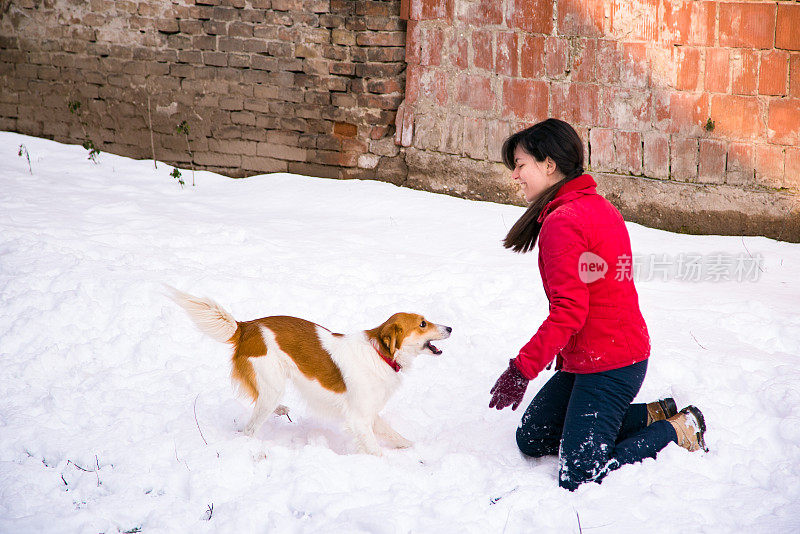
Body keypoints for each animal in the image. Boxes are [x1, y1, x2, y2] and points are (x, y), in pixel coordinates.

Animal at [168, 288, 450, 456]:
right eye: (423, 324)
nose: (450, 327)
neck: (380, 353)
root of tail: (246, 326)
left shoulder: (368, 412)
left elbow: (392, 433)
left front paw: (411, 447)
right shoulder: (359, 417)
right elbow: (375, 450)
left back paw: (281, 410)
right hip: (272, 385)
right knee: (250, 429)